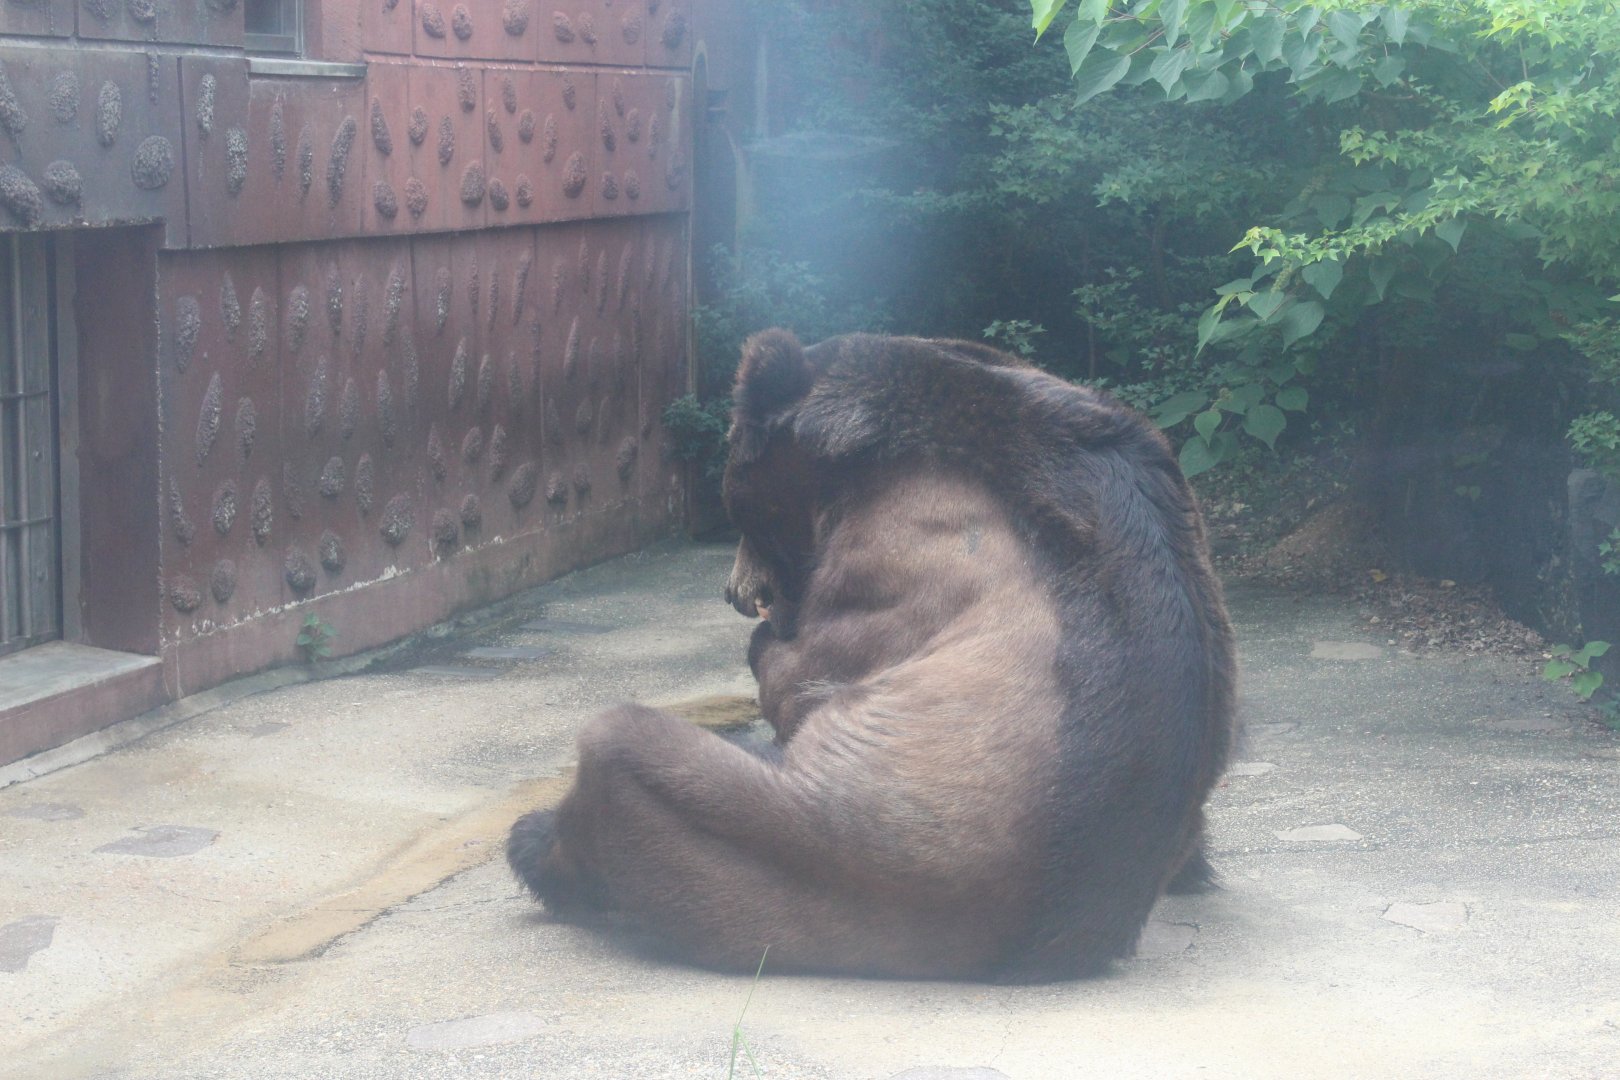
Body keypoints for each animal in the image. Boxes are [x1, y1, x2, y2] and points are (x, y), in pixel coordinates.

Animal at [507, 329, 1236, 981]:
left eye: (738, 506)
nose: (735, 594)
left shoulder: (911, 544)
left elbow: (814, 664)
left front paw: (773, 642)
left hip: (809, 844)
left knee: (623, 750)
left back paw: (536, 844)